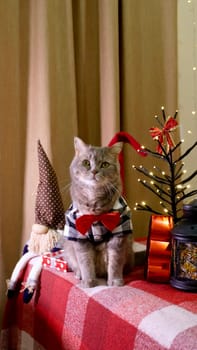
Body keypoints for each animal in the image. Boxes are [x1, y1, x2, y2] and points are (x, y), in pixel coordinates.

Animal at [63, 137, 134, 288]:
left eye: (105, 164)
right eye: (86, 163)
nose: (94, 171)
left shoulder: (119, 233)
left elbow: (115, 262)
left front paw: (115, 281)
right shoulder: (79, 236)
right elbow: (85, 263)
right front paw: (88, 282)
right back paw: (79, 275)